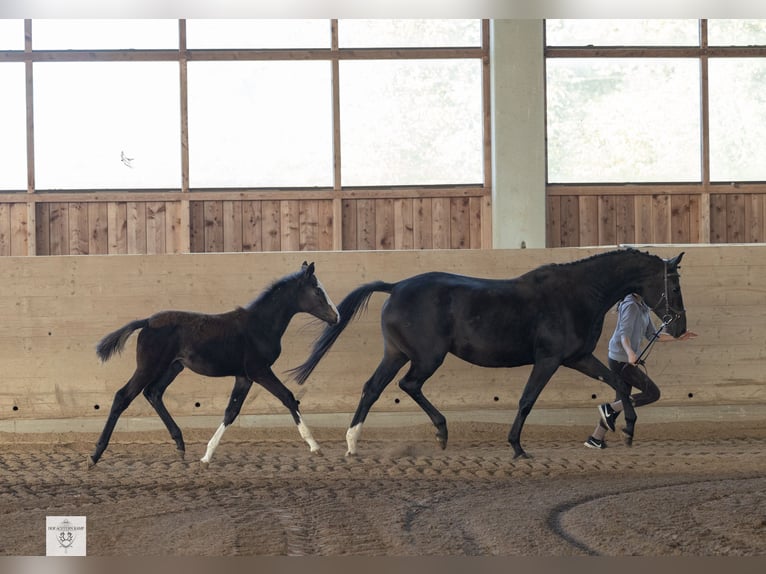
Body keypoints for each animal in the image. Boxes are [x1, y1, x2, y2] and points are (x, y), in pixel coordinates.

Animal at [90, 260, 340, 468]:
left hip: (173, 367)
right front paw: (315, 446)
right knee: (123, 396)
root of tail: (147, 322)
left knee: (153, 393)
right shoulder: (259, 371)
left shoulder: (244, 376)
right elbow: (287, 397)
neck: (260, 324)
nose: (336, 316)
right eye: (317, 290)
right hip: (148, 367)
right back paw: (95, 455)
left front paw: (206, 456)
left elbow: (231, 412)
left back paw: (180, 445)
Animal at [292, 250, 688, 462]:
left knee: (373, 388)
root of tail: (397, 287)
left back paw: (353, 443)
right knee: (408, 385)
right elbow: (527, 400)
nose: (679, 326)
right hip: (427, 357)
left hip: (397, 353)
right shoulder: (549, 360)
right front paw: (517, 447)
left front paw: (626, 427)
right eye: (673, 284)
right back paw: (440, 432)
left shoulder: (578, 357)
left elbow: (617, 380)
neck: (578, 294)